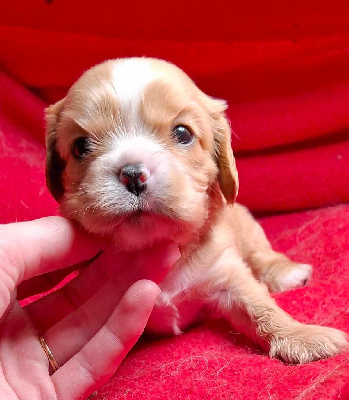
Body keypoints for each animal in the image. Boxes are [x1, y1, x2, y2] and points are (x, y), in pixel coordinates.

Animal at [44, 57, 346, 364]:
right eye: (81, 146)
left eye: (182, 133)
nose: (132, 174)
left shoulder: (224, 271)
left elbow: (259, 305)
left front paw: (302, 336)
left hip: (246, 225)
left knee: (260, 254)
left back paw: (286, 273)